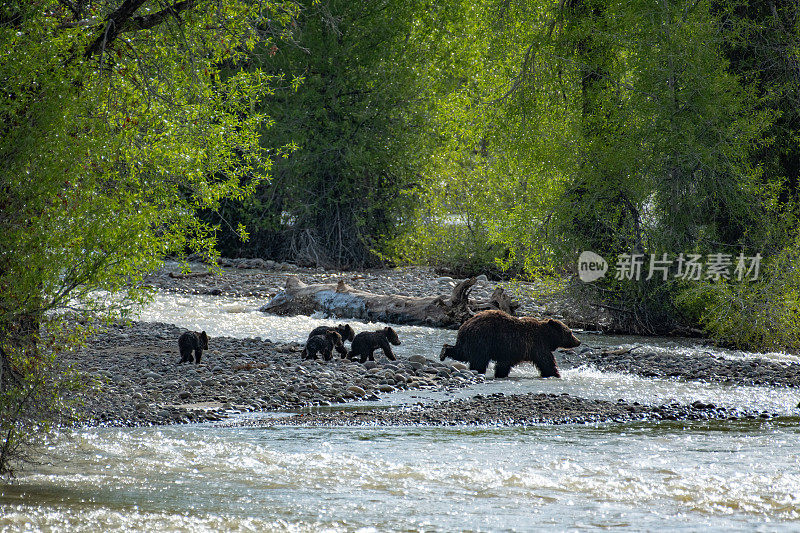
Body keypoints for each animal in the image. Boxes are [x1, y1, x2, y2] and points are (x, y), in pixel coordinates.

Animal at [438, 308, 580, 378]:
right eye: (570, 332)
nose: (578, 341)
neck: (547, 337)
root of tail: (464, 325)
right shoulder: (534, 345)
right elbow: (546, 361)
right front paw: (555, 373)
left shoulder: (513, 349)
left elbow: (505, 364)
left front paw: (500, 374)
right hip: (481, 340)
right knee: (478, 360)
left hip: (471, 341)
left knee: (461, 352)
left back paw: (444, 351)